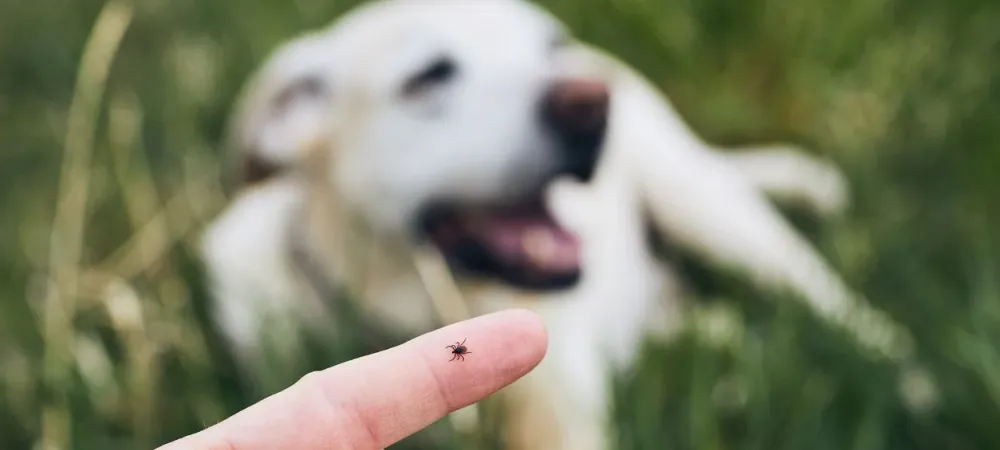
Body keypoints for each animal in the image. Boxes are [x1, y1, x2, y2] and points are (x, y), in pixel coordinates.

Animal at [201, 1, 908, 448]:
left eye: (551, 46)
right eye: (428, 76)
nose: (591, 101)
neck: (409, 304)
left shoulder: (559, 409)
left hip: (708, 207)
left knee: (839, 310)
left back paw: (910, 382)